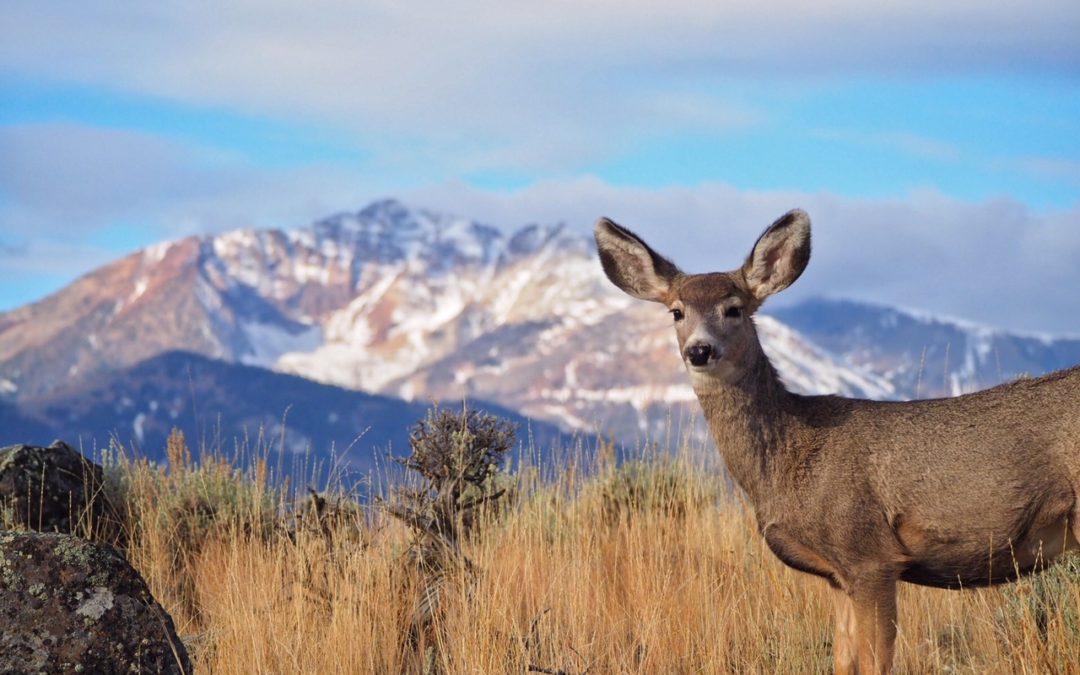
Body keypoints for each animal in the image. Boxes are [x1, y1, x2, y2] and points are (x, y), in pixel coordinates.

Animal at [596, 209, 1080, 669]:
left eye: (734, 308)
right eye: (676, 312)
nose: (699, 350)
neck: (790, 457)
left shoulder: (869, 554)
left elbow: (874, 662)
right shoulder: (837, 574)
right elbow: (843, 660)